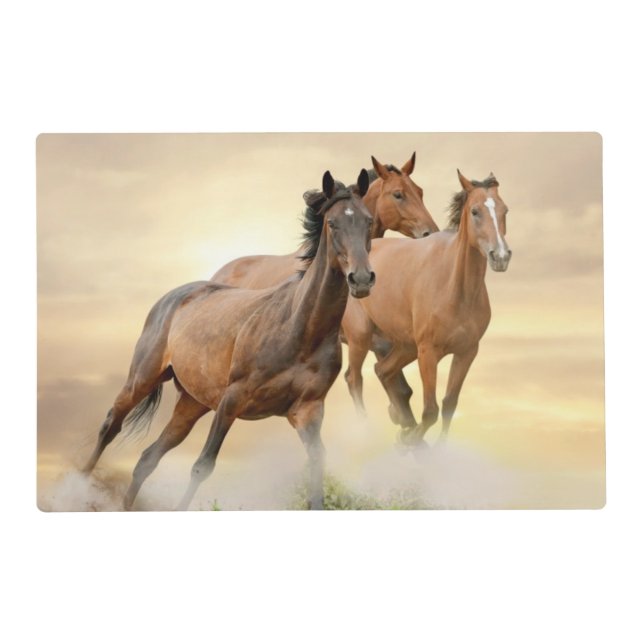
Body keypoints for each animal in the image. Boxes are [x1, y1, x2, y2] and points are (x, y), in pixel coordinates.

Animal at [82, 169, 376, 510]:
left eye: (368, 220)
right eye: (332, 223)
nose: (361, 279)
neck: (300, 329)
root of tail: (173, 296)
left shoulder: (308, 412)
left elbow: (317, 468)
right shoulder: (232, 399)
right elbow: (202, 466)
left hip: (192, 403)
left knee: (147, 459)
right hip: (142, 379)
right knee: (110, 426)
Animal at [342, 170, 511, 446]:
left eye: (505, 210)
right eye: (475, 211)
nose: (501, 256)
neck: (456, 290)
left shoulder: (467, 352)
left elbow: (449, 404)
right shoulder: (428, 352)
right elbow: (430, 410)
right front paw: (410, 440)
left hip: (404, 345)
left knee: (383, 371)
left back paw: (402, 423)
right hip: (361, 337)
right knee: (354, 378)